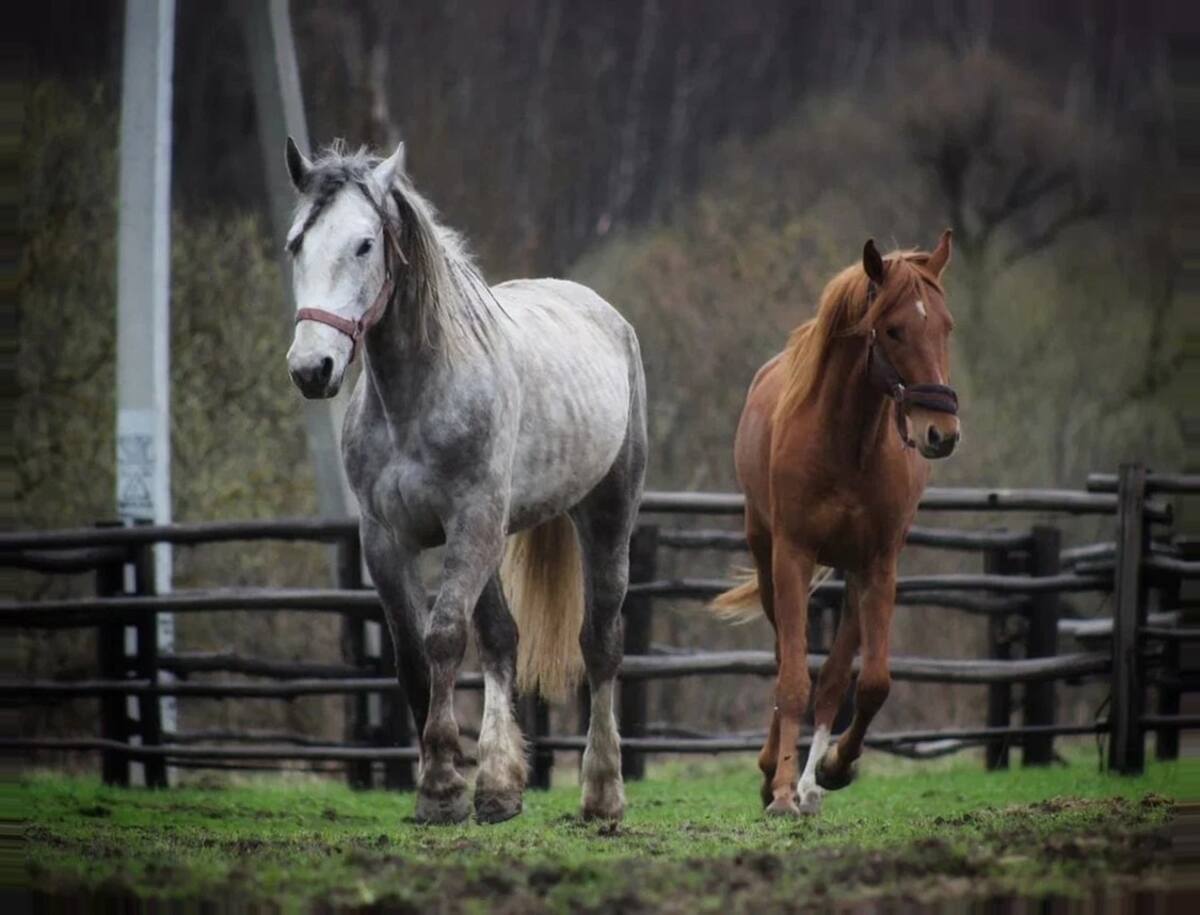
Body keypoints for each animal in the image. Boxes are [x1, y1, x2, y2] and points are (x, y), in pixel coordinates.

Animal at [282, 139, 648, 821]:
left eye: (365, 244)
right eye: (297, 243)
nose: (312, 368)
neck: (417, 397)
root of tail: (603, 313)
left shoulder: (470, 523)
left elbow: (446, 638)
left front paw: (442, 789)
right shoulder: (386, 539)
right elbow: (413, 657)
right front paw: (449, 783)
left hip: (606, 516)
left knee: (600, 644)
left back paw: (603, 792)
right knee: (504, 641)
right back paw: (501, 787)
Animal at [715, 231, 960, 816]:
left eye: (946, 326)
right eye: (893, 328)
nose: (941, 432)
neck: (846, 442)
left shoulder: (879, 564)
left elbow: (870, 684)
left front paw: (832, 768)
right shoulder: (792, 558)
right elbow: (791, 680)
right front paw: (780, 790)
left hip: (853, 574)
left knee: (833, 677)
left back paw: (810, 782)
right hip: (766, 558)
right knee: (785, 658)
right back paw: (774, 774)